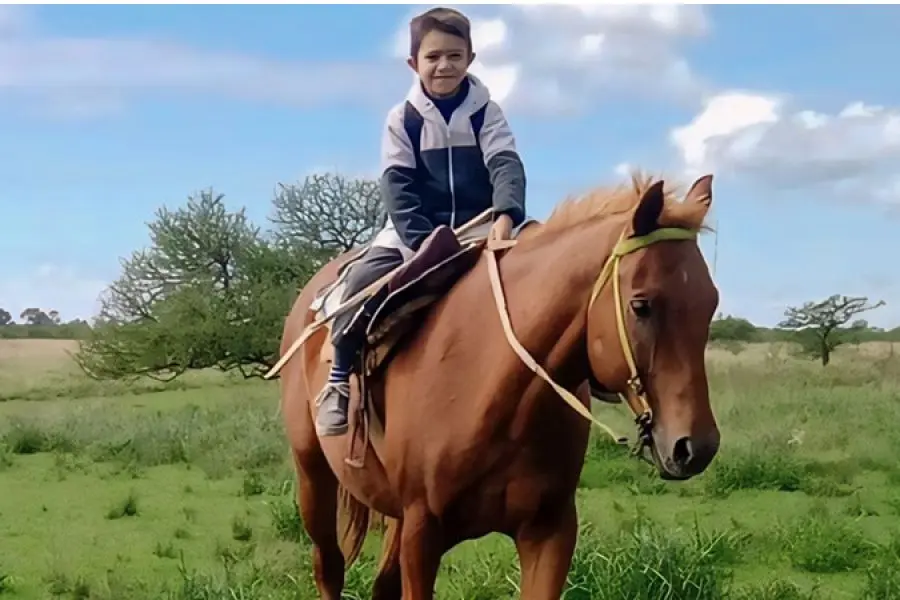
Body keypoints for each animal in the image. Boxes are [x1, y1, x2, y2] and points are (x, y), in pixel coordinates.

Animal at [270, 170, 721, 599]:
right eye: (641, 305)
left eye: (711, 303)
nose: (696, 447)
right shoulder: (421, 532)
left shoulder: (550, 531)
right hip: (313, 476)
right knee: (328, 567)